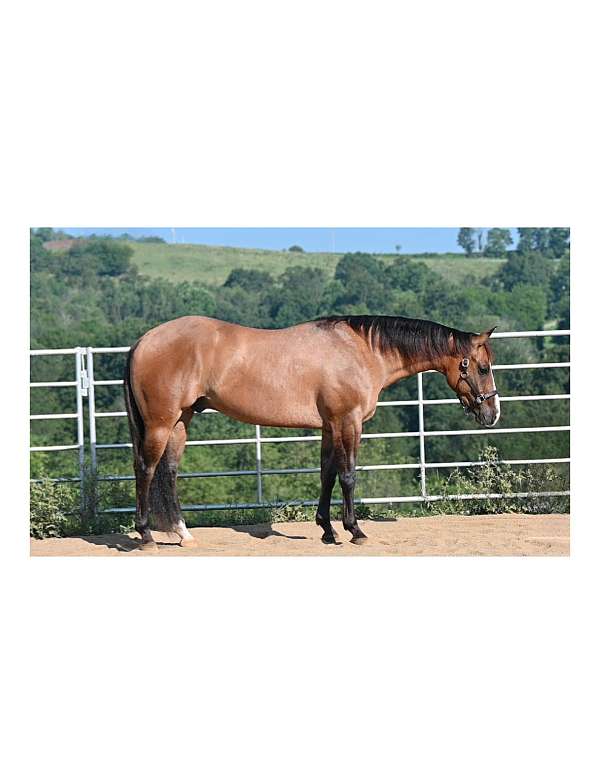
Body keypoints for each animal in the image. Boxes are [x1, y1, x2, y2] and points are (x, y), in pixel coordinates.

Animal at [123, 315, 500, 549]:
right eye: (482, 368)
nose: (493, 413)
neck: (362, 352)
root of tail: (143, 340)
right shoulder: (348, 421)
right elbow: (348, 475)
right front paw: (355, 530)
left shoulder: (330, 426)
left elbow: (327, 475)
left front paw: (328, 531)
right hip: (161, 422)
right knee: (146, 469)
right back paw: (146, 536)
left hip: (181, 421)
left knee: (169, 472)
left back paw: (182, 533)